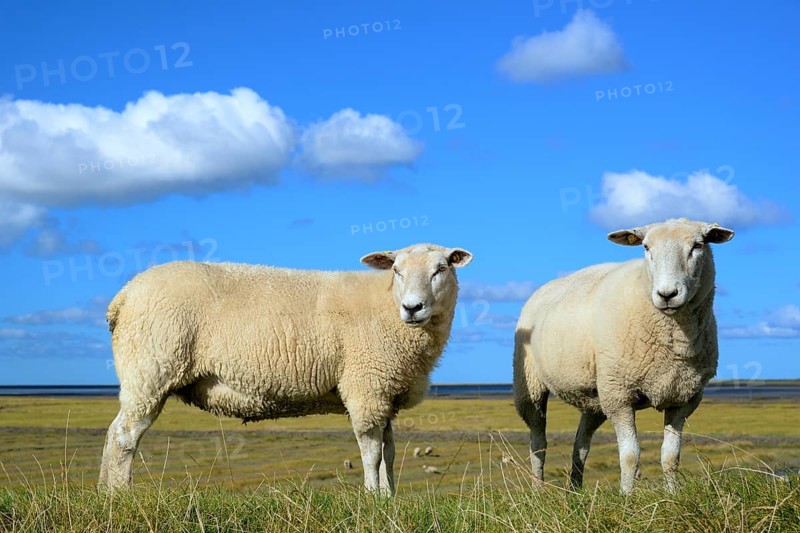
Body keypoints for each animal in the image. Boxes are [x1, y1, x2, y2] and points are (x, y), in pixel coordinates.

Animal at [98, 243, 473, 495]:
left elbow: (390, 453)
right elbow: (371, 453)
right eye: (396, 270)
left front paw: (389, 497)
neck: (387, 305)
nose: (413, 307)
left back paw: (105, 494)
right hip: (149, 371)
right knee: (124, 437)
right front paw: (371, 499)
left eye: (441, 268)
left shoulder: (386, 394)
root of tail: (124, 295)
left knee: (113, 433)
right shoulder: (365, 388)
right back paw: (121, 496)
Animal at [513, 219, 734, 493]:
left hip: (596, 397)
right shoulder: (619, 396)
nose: (667, 294)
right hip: (531, 385)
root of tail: (543, 288)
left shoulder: (683, 398)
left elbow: (671, 456)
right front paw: (627, 496)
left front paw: (672, 494)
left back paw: (575, 489)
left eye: (698, 245)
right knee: (538, 442)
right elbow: (630, 456)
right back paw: (538, 489)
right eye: (646, 247)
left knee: (581, 445)